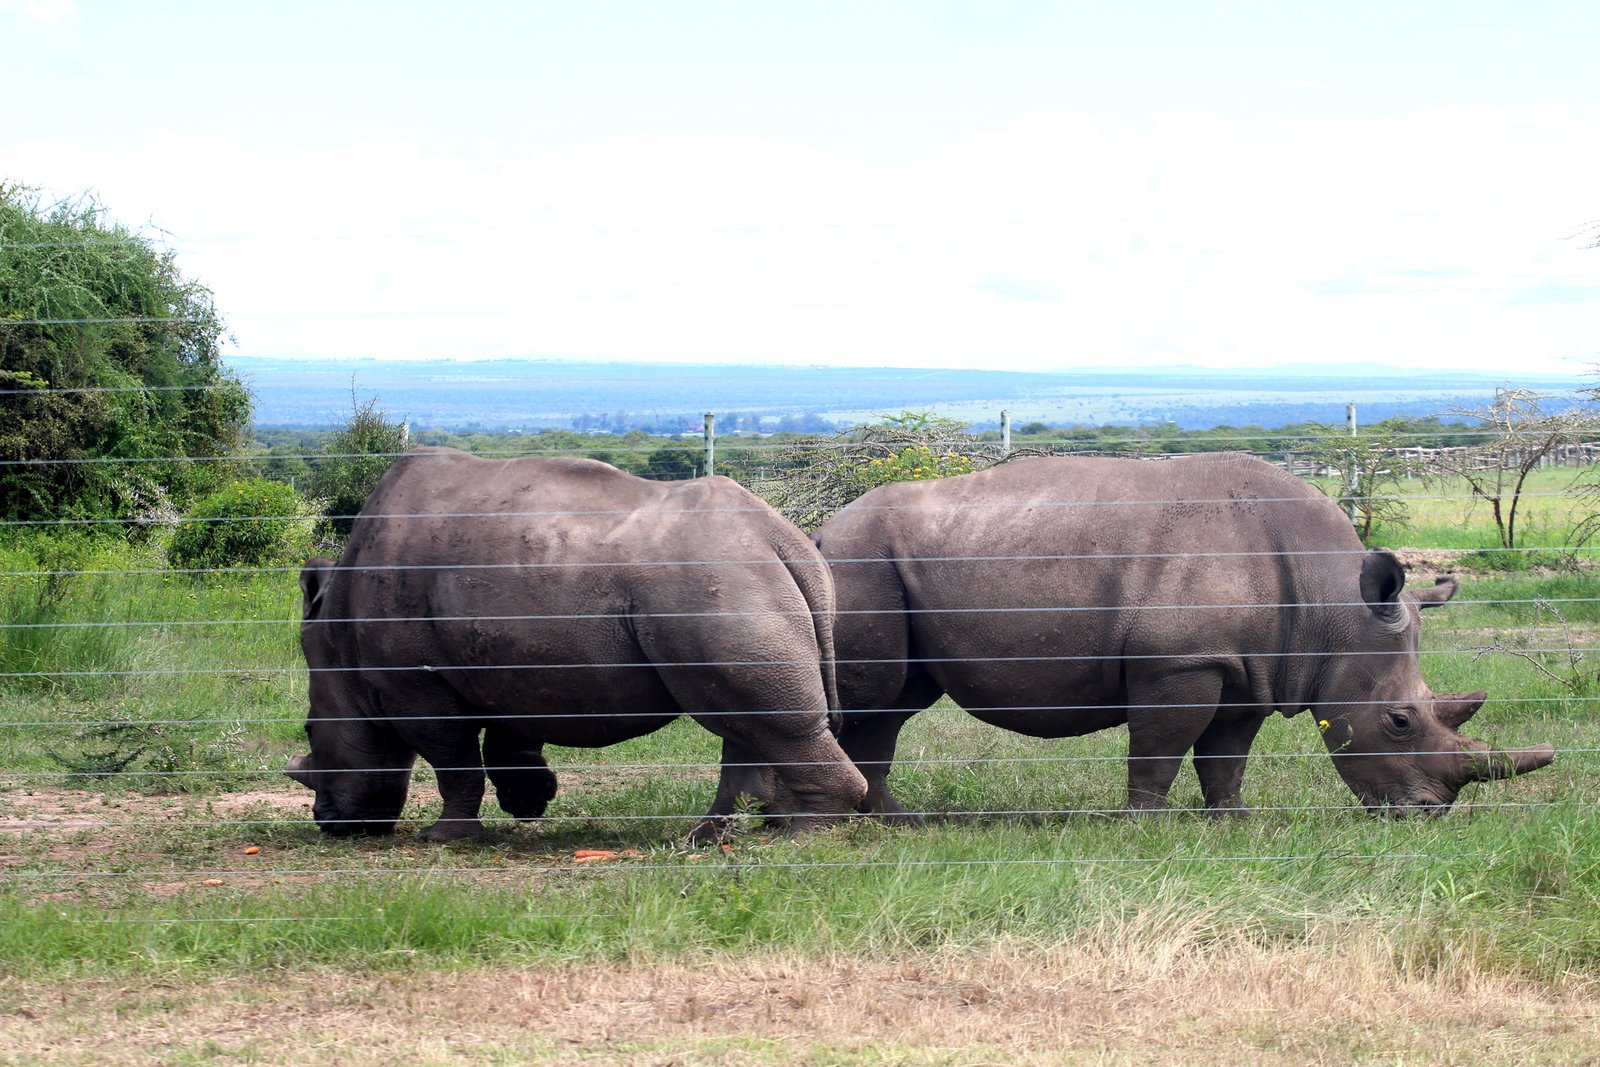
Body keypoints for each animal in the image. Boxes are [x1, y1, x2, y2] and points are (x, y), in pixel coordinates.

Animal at [285, 446, 866, 841]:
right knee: (740, 721)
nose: (326, 821)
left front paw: (445, 837)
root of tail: (781, 538)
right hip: (727, 574)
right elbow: (509, 737)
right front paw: (529, 802)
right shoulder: (508, 660)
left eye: (311, 731)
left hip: (712, 578)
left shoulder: (414, 685)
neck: (338, 638)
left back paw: (801, 838)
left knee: (757, 718)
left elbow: (452, 757)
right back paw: (709, 838)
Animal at [809, 452, 1553, 818]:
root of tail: (824, 529)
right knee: (876, 695)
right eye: (1399, 721)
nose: (1427, 813)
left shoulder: (1253, 666)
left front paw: (1234, 821)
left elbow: (1226, 756)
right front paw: (1145, 825)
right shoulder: (1180, 662)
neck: (1335, 609)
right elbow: (1161, 749)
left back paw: (895, 820)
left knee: (898, 701)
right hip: (861, 558)